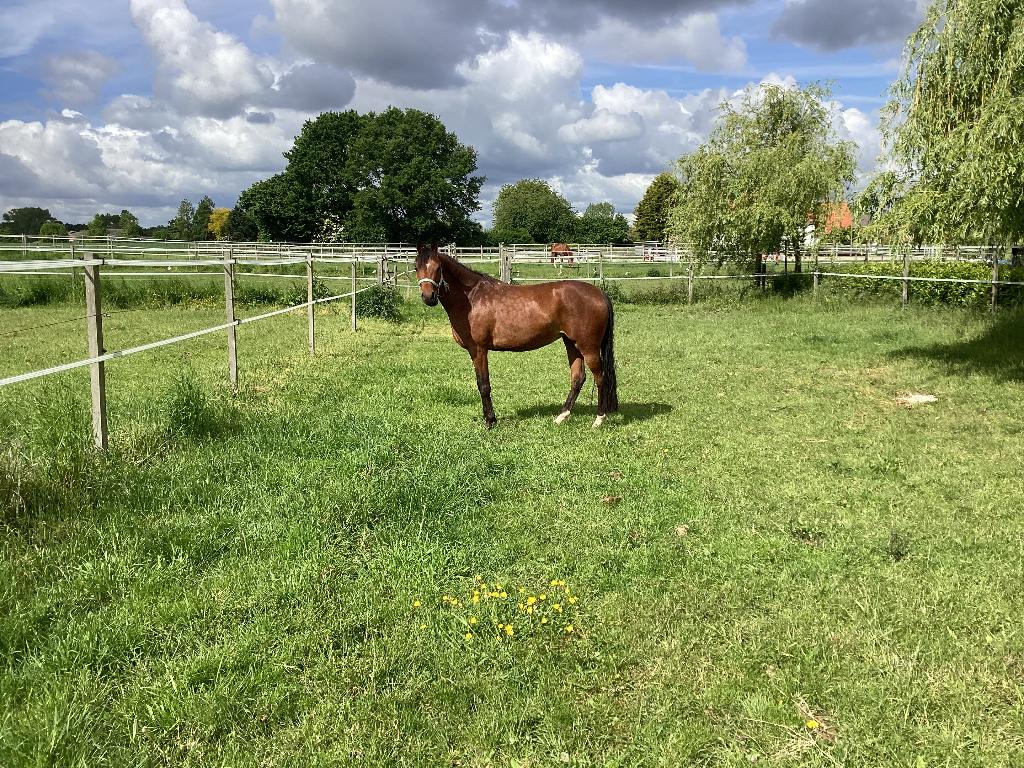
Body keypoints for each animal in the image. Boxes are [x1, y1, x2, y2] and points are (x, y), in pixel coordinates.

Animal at [414, 243, 618, 429]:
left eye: (438, 268)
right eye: (416, 267)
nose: (428, 297)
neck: (471, 298)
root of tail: (599, 293)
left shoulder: (478, 349)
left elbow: (483, 385)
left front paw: (490, 421)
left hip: (588, 347)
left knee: (600, 377)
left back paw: (599, 419)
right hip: (571, 344)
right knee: (578, 378)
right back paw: (561, 416)